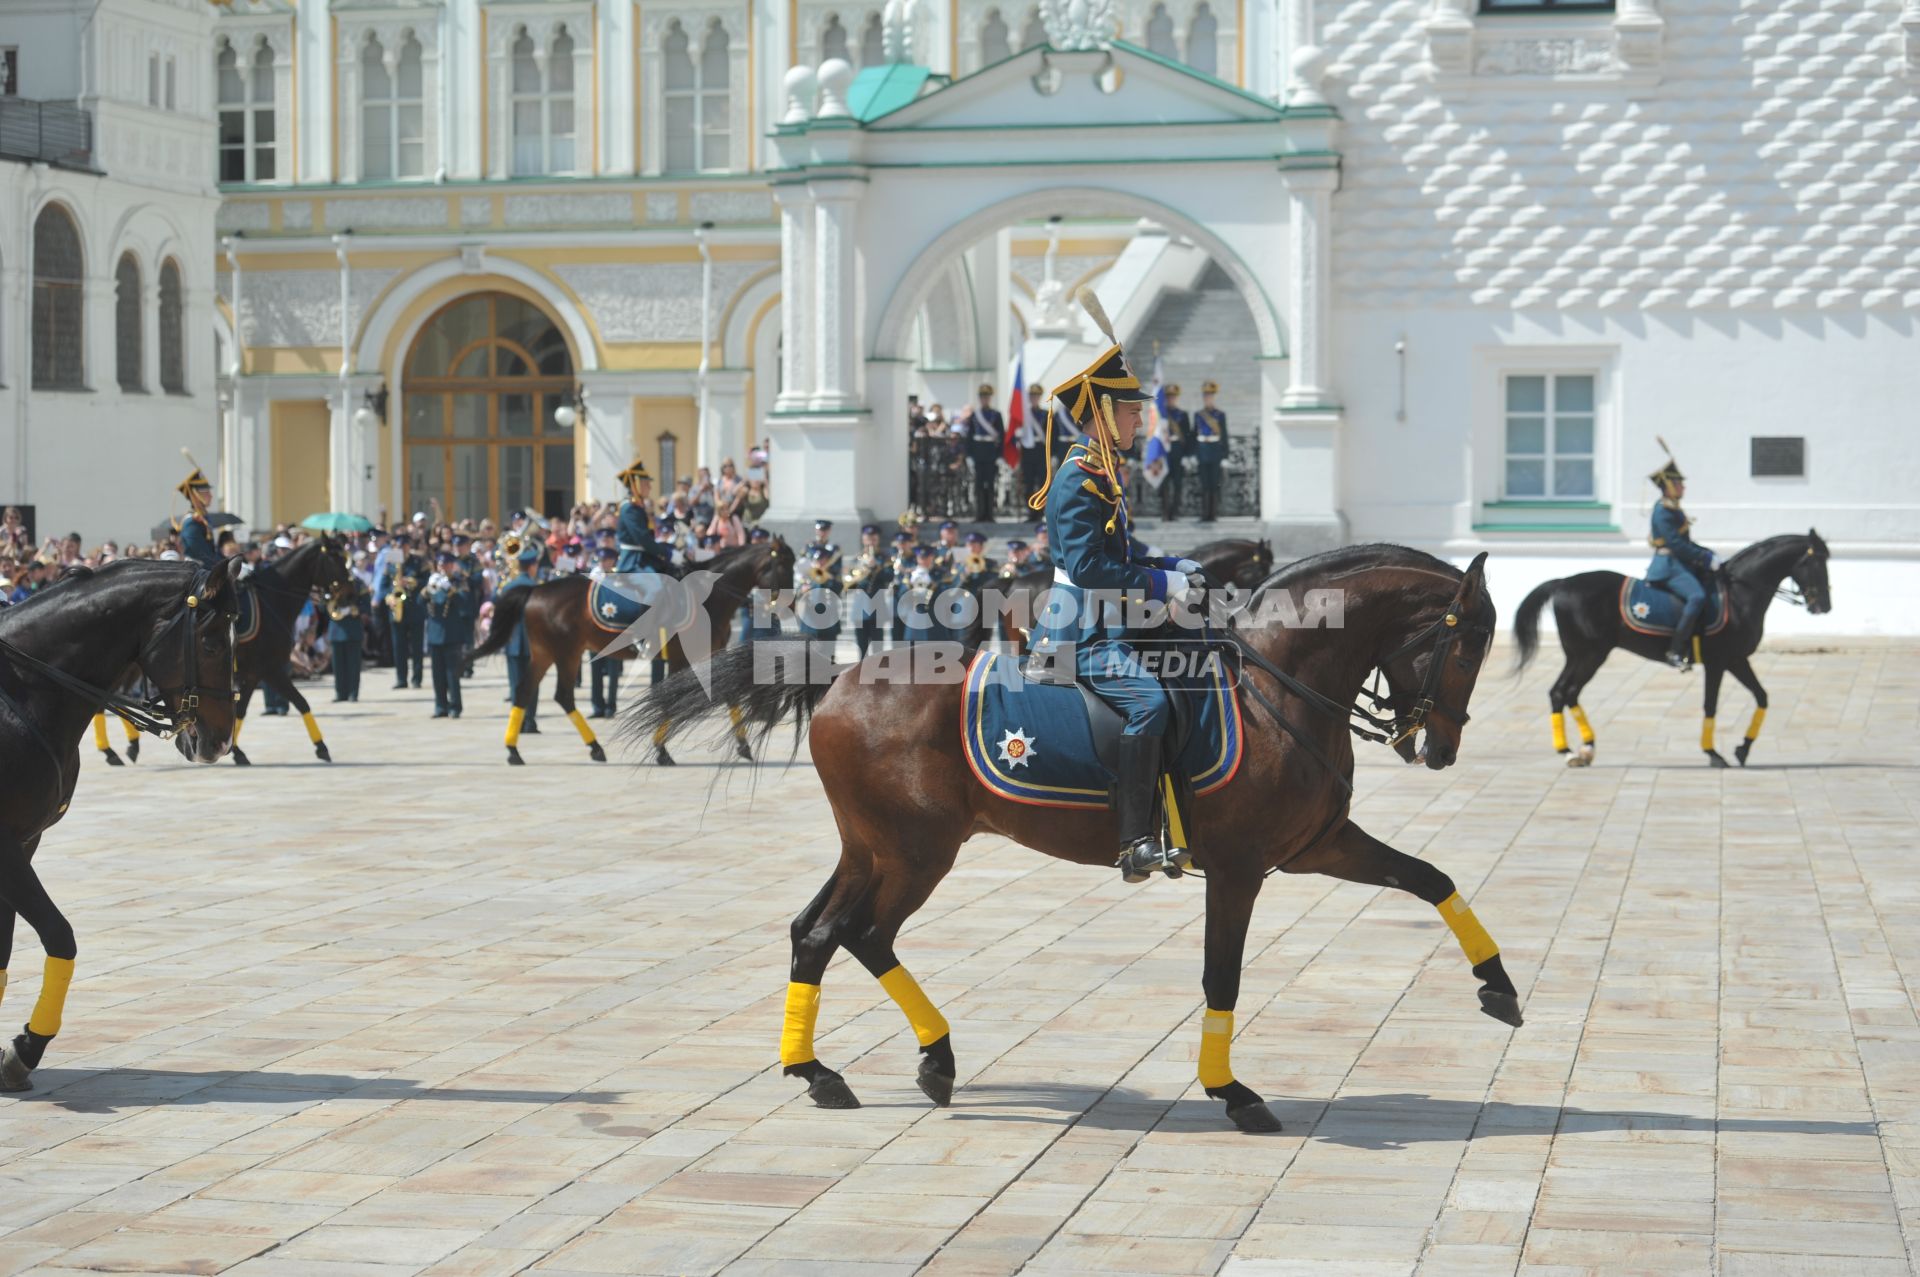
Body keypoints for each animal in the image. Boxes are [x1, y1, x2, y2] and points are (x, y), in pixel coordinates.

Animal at [476, 541, 798, 768]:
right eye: (784, 565)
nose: (791, 607)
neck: (709, 595)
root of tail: (536, 589)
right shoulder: (682, 657)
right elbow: (669, 702)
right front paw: (661, 750)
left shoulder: (713, 653)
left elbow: (729, 695)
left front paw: (744, 746)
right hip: (566, 653)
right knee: (560, 695)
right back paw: (588, 747)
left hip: (547, 654)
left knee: (526, 691)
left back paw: (517, 750)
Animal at [629, 541, 1512, 1129]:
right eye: (1468, 642)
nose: (1440, 746)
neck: (1278, 685)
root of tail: (846, 674)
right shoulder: (1239, 869)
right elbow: (1221, 977)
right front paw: (1232, 1091)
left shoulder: (1315, 847)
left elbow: (1430, 877)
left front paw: (1498, 984)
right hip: (914, 850)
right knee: (844, 931)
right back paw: (850, 1065)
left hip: (875, 847)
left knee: (829, 930)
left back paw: (873, 1064)